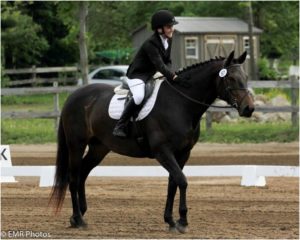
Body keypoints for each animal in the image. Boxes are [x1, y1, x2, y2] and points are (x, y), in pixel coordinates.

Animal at [49, 50, 253, 232]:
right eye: (231, 79)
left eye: (246, 76)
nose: (249, 109)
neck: (180, 104)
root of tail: (74, 95)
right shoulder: (162, 152)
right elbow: (182, 180)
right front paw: (182, 221)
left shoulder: (183, 153)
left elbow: (173, 183)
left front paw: (171, 221)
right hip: (76, 145)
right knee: (73, 177)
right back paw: (78, 219)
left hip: (99, 148)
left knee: (83, 174)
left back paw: (79, 215)